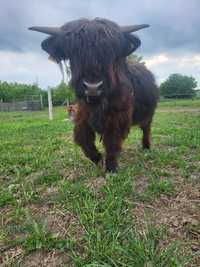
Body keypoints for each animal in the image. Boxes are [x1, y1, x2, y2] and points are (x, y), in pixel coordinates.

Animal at [28, 18, 159, 174]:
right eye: (73, 52)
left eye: (111, 52)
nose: (92, 87)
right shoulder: (81, 114)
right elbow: (83, 139)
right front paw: (97, 158)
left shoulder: (118, 116)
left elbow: (112, 141)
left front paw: (111, 168)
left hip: (149, 114)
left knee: (146, 128)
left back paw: (146, 147)